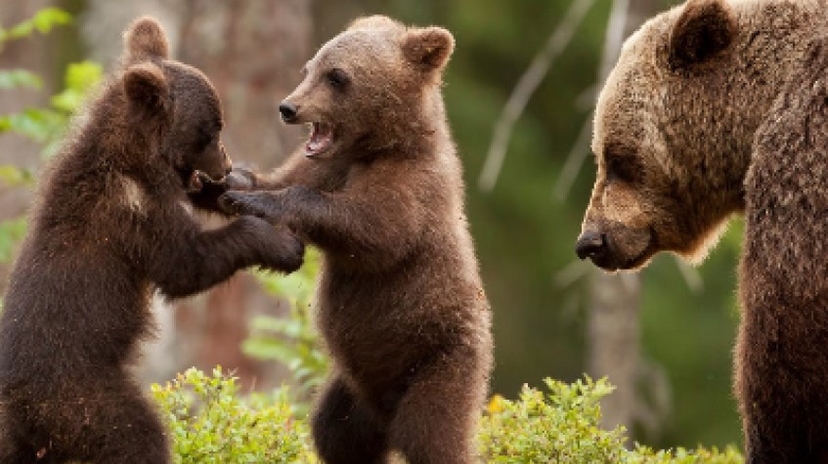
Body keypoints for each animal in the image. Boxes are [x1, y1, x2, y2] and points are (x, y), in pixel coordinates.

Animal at [0, 17, 304, 464]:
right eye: (211, 130)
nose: (226, 162)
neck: (137, 160)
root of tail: (20, 407)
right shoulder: (134, 214)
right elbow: (186, 265)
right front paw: (284, 246)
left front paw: (238, 190)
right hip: (88, 399)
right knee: (136, 435)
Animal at [218, 15, 493, 464]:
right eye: (308, 68)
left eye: (337, 76)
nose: (288, 107)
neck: (377, 147)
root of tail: (386, 415)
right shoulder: (327, 165)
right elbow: (281, 177)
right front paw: (228, 183)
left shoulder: (413, 186)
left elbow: (374, 231)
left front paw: (259, 201)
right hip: (350, 392)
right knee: (335, 433)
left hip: (440, 362)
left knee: (434, 437)